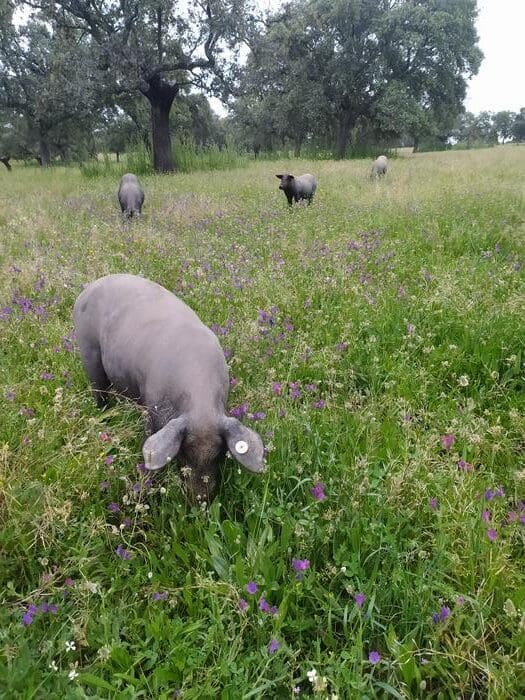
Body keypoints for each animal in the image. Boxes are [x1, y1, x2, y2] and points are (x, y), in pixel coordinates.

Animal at [73, 274, 265, 502]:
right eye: (183, 454)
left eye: (219, 455)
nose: (200, 499)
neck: (201, 408)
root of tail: (89, 287)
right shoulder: (152, 406)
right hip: (88, 352)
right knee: (99, 392)